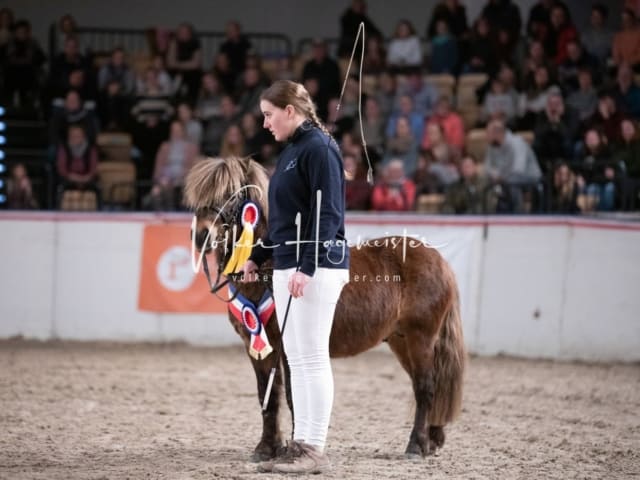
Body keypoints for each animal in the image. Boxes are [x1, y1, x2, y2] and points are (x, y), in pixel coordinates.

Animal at [184, 158, 464, 462]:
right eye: (199, 196)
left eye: (232, 194)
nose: (201, 235)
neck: (267, 271)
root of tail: (439, 261)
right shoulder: (256, 345)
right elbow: (267, 396)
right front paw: (267, 447)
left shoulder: (287, 347)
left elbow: (293, 396)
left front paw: (293, 447)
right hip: (401, 341)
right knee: (428, 384)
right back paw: (432, 439)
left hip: (420, 338)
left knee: (425, 387)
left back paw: (416, 445)